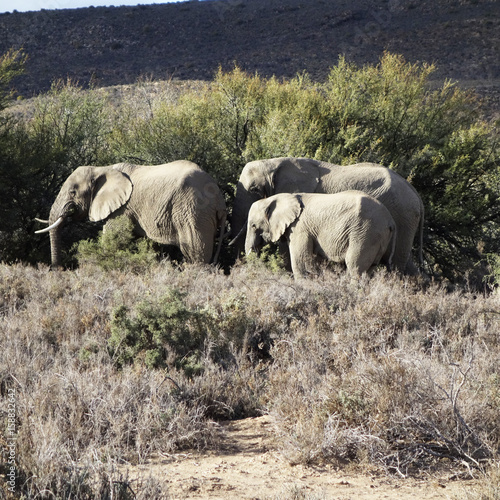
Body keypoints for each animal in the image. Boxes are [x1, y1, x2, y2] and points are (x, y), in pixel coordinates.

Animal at [36, 162, 228, 268]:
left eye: (73, 192)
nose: (58, 270)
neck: (102, 169)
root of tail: (220, 199)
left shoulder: (122, 208)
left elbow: (110, 236)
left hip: (193, 211)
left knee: (196, 253)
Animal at [244, 190, 396, 278]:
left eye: (253, 226)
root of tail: (390, 221)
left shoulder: (300, 228)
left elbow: (301, 263)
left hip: (365, 233)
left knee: (355, 266)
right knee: (370, 268)